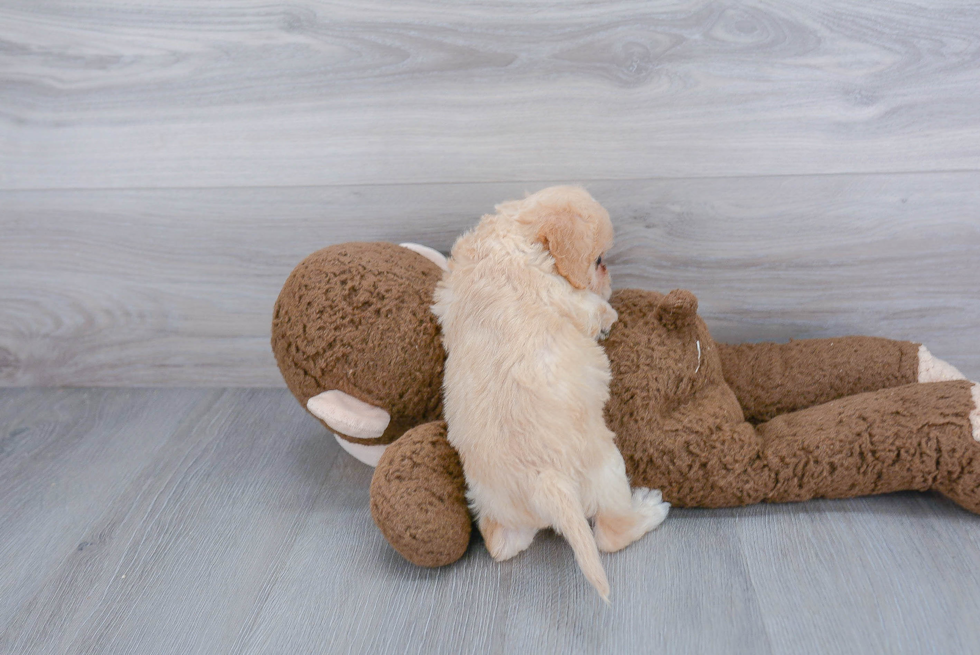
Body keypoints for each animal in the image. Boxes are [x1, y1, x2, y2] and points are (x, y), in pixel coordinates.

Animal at [432, 187, 668, 604]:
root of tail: (545, 483)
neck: (516, 234)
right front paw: (609, 314)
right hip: (608, 468)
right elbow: (595, 310)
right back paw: (649, 510)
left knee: (502, 543)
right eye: (599, 259)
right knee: (610, 534)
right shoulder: (574, 302)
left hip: (493, 506)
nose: (609, 274)